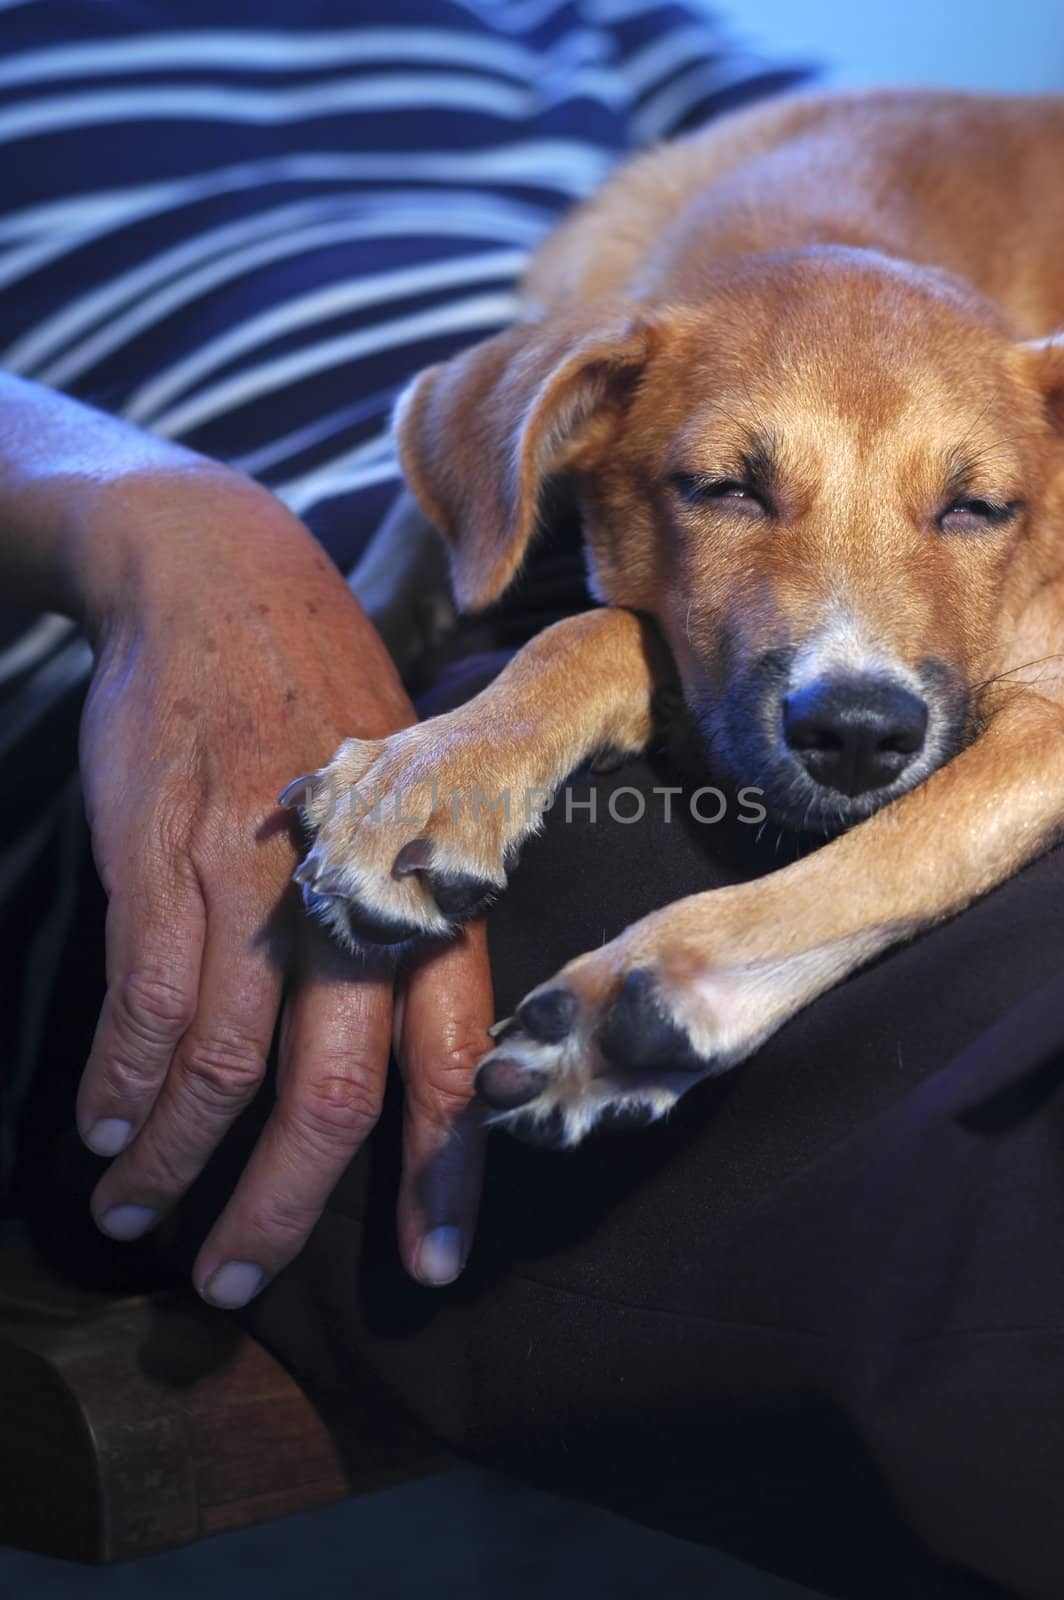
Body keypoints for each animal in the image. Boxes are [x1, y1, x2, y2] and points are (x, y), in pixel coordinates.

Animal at [280, 87, 1062, 1145]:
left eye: (977, 508)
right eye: (724, 488)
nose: (859, 734)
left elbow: (915, 841)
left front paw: (657, 991)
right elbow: (557, 607)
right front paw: (435, 766)